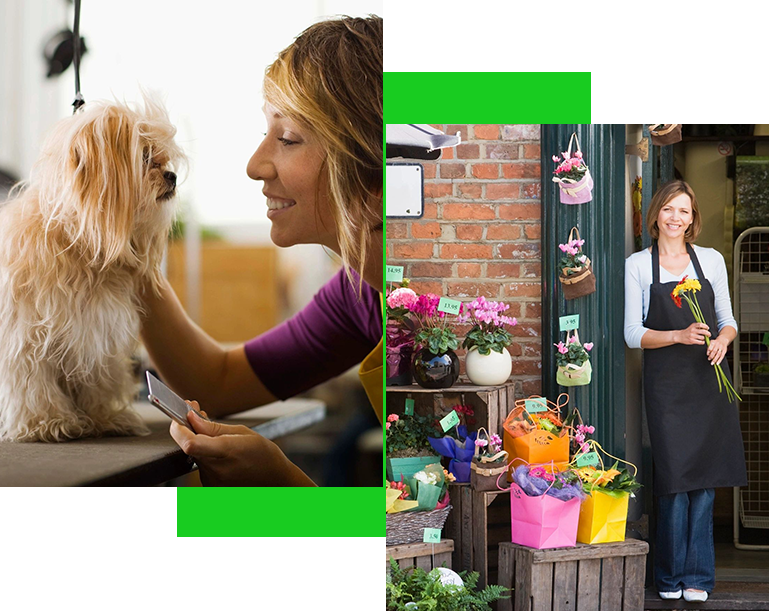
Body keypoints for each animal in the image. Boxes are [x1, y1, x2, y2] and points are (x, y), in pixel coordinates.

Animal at [0, 94, 184, 440]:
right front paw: (47, 422)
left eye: (164, 158)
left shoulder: (95, 328)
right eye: (145, 157)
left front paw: (104, 417)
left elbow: (97, 377)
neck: (79, 246)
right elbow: (32, 382)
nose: (172, 176)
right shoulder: (23, 336)